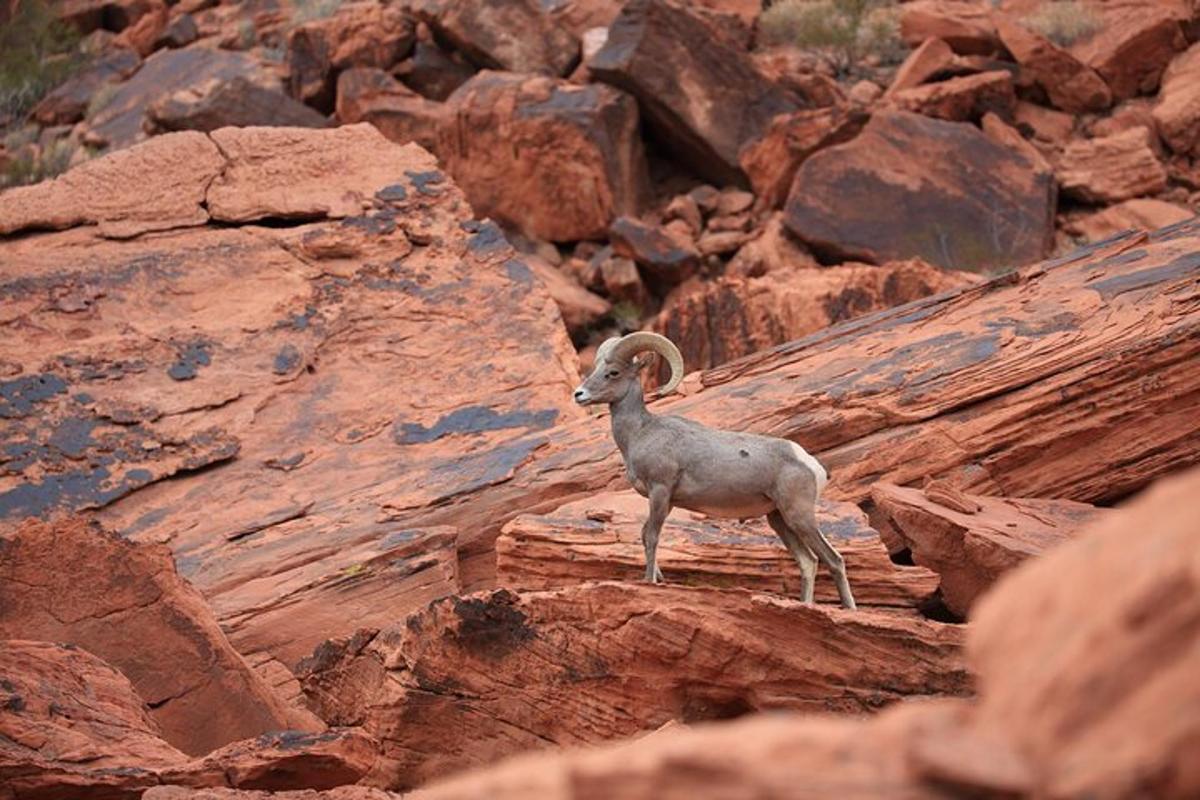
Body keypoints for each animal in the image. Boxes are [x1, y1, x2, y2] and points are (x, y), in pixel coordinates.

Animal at [571, 331, 854, 606]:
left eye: (613, 372)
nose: (579, 394)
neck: (640, 433)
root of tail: (811, 464)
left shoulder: (660, 491)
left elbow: (652, 536)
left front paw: (649, 581)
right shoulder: (666, 500)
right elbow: (643, 534)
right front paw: (658, 579)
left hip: (799, 516)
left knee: (834, 559)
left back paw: (847, 608)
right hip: (778, 519)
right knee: (809, 562)